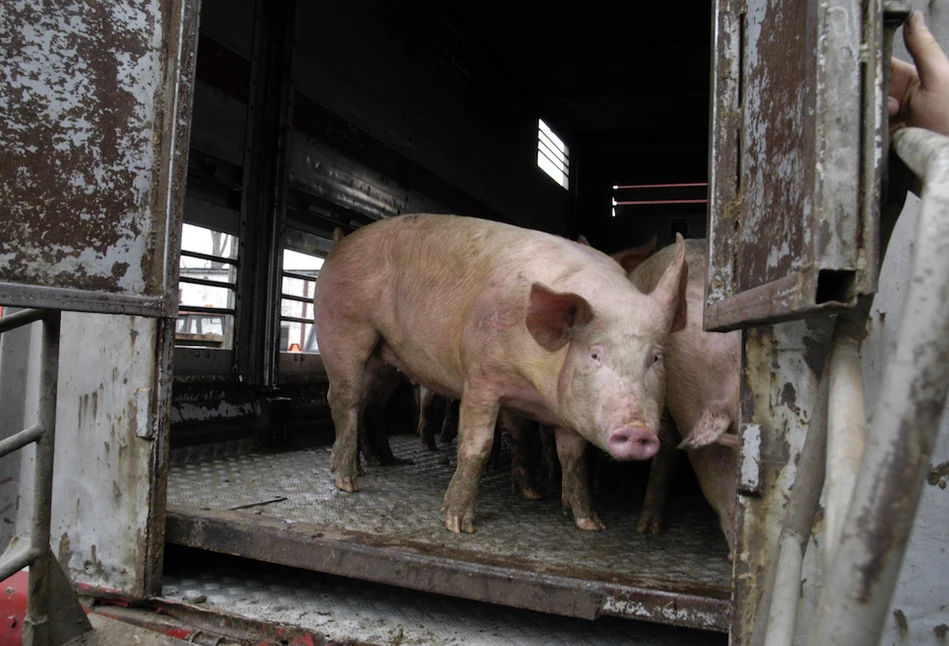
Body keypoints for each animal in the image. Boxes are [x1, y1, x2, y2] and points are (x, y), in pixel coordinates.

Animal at [314, 215, 684, 536]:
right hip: (343, 328)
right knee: (343, 399)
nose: (637, 429)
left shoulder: (562, 413)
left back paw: (384, 462)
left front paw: (589, 523)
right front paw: (457, 525)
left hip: (384, 360)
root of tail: (341, 244)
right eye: (595, 354)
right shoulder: (481, 376)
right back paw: (349, 482)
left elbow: (572, 459)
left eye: (656, 357)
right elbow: (477, 445)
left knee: (370, 404)